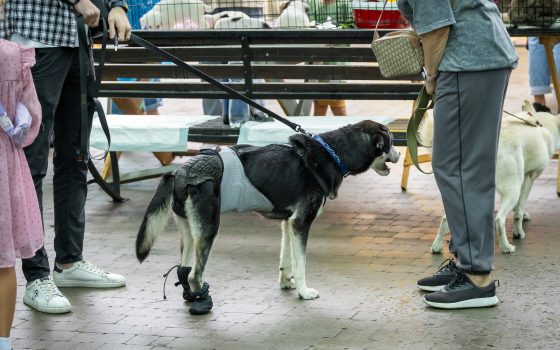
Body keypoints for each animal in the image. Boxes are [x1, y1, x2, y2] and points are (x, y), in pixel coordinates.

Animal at [135, 119, 398, 314]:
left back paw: (191, 298)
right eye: (390, 143)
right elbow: (301, 264)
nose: (397, 155)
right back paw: (202, 304)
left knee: (184, 269)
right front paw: (304, 292)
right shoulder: (301, 223)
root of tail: (179, 172)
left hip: (190, 231)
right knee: (195, 274)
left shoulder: (289, 223)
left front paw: (286, 283)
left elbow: (287, 259)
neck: (334, 154)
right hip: (209, 229)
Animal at [424, 101, 560, 254]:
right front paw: (518, 232)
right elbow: (519, 209)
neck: (542, 127)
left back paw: (437, 246)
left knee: (446, 219)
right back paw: (506, 247)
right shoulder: (529, 177)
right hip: (512, 190)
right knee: (499, 220)